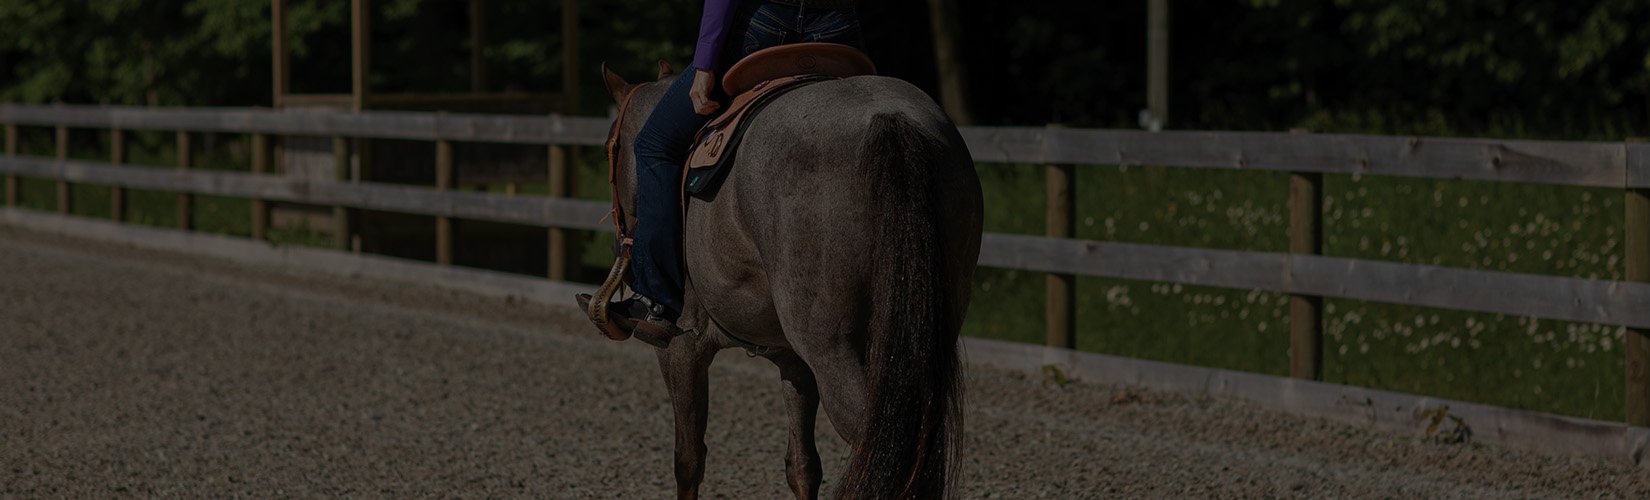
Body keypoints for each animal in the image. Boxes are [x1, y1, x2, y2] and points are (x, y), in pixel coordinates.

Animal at [596, 60, 982, 499]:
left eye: (609, 146)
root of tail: (889, 120)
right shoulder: (793, 361)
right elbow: (802, 465)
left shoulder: (681, 346)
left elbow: (688, 459)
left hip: (835, 355)